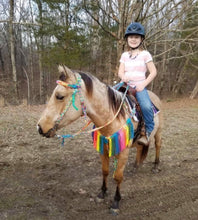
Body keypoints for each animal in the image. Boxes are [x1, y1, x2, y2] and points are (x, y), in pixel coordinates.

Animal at [37, 65, 162, 215]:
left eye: (59, 96)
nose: (40, 127)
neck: (113, 116)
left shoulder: (123, 152)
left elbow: (118, 176)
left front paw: (115, 202)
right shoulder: (103, 148)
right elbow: (105, 171)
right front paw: (102, 194)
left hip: (158, 131)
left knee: (158, 145)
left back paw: (156, 166)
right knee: (139, 148)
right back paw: (136, 166)